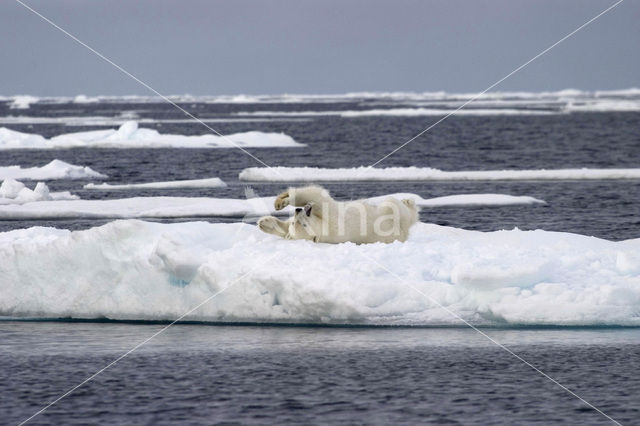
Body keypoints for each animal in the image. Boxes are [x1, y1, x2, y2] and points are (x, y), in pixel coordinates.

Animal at [258, 186, 418, 243]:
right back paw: (408, 202)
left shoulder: (329, 217)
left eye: (302, 223)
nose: (298, 211)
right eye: (297, 223)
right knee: (395, 206)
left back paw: (407, 200)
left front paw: (279, 203)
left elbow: (316, 196)